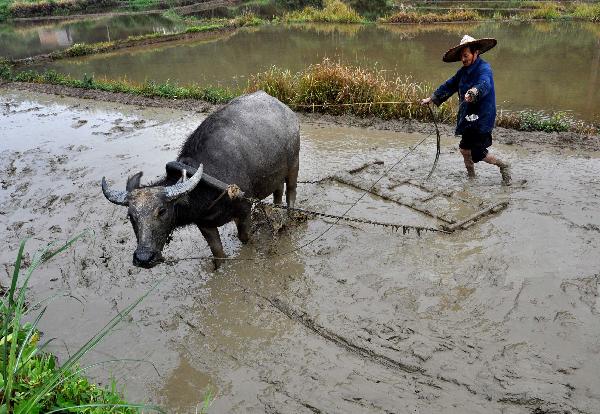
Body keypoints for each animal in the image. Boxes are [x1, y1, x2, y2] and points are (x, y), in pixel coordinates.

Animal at [102, 91, 304, 268]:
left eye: (162, 211)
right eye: (131, 216)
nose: (144, 257)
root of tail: (287, 110)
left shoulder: (245, 209)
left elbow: (245, 237)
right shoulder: (205, 224)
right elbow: (218, 253)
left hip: (294, 164)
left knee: (290, 191)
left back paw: (289, 216)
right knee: (278, 191)